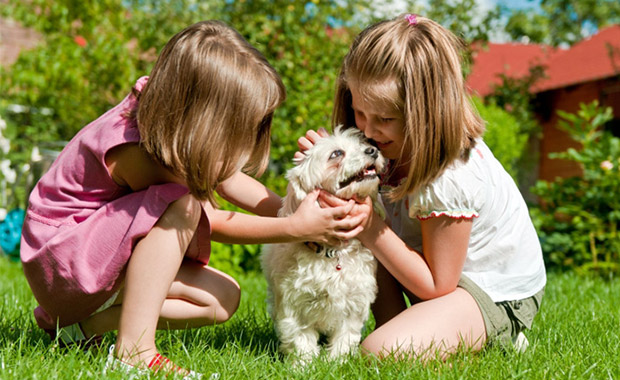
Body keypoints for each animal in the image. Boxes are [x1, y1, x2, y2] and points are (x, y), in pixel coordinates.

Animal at [260, 125, 386, 362]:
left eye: (362, 144)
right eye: (336, 153)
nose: (372, 150)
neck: (333, 252)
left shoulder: (353, 303)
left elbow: (345, 337)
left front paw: (337, 362)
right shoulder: (294, 305)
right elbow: (300, 338)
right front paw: (304, 364)